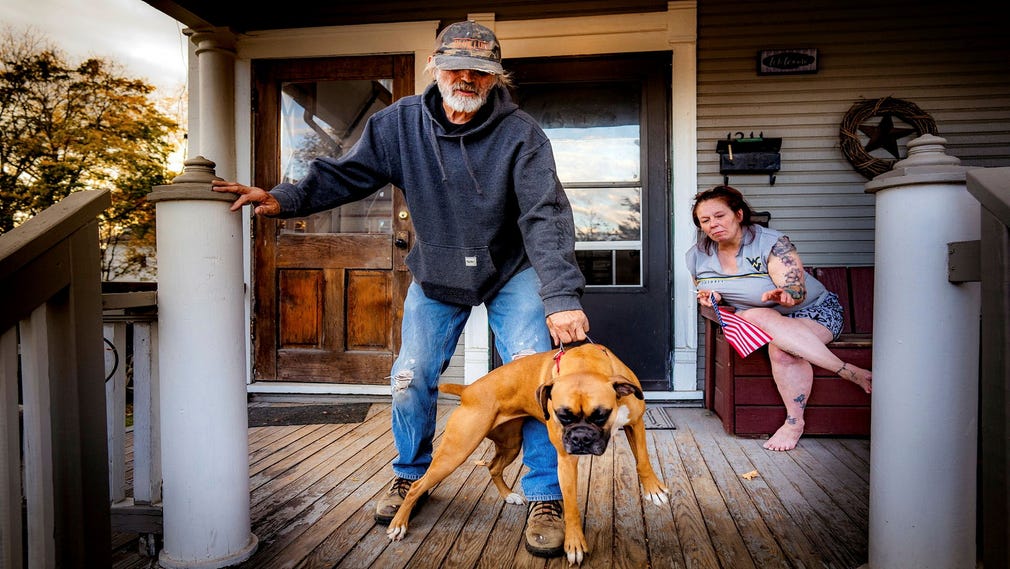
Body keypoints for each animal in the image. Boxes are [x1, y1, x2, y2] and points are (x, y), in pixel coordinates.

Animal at [385, 343, 670, 565]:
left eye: (601, 414)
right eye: (562, 415)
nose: (580, 438)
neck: (585, 364)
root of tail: (468, 390)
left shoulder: (636, 423)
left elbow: (643, 459)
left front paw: (653, 489)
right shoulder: (566, 460)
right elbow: (572, 506)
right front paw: (574, 543)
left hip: (510, 443)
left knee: (493, 467)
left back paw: (509, 495)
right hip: (456, 451)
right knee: (418, 486)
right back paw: (399, 524)